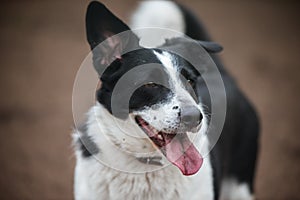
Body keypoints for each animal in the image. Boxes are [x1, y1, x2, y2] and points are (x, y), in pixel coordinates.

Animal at [73, 0, 260, 199]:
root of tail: (223, 74)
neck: (146, 164)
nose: (194, 117)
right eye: (150, 83)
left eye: (190, 80)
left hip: (241, 184)